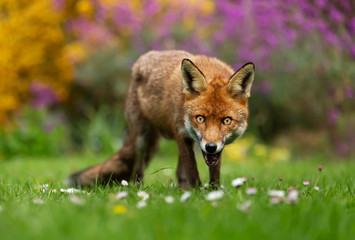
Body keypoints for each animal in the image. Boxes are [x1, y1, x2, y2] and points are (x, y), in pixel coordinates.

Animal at [67, 50, 256, 188]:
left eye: (227, 120)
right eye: (200, 118)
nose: (210, 147)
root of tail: (142, 59)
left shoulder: (206, 145)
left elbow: (213, 174)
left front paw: (214, 193)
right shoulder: (181, 133)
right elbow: (192, 171)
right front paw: (197, 194)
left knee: (178, 173)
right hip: (141, 136)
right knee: (138, 167)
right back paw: (137, 189)